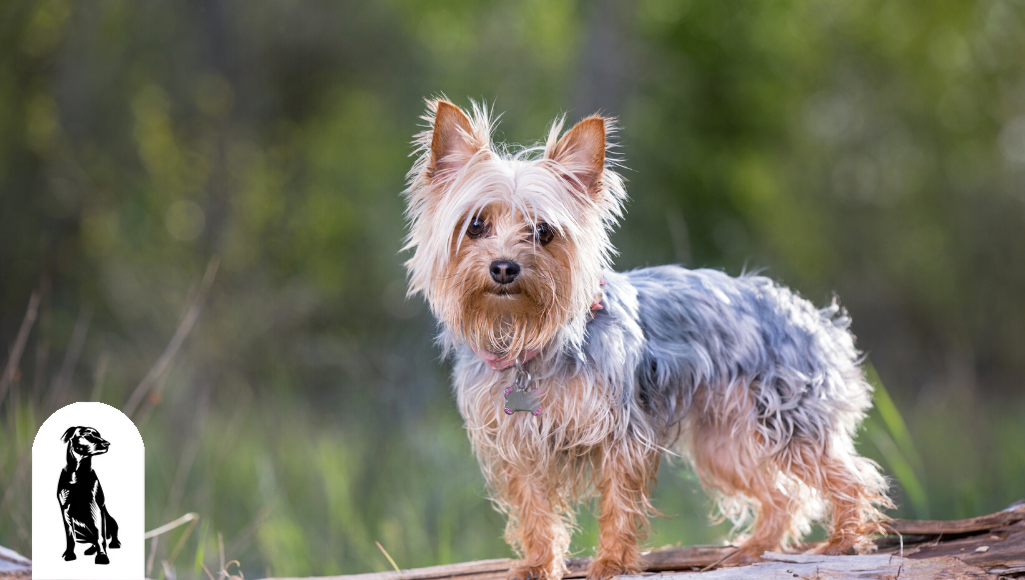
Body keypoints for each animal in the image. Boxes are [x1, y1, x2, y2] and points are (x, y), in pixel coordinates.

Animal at [58, 424, 120, 565]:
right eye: (87, 435)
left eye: (99, 435)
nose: (107, 443)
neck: (78, 473)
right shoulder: (65, 509)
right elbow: (70, 537)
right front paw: (69, 554)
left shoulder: (96, 506)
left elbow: (100, 536)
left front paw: (102, 556)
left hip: (110, 519)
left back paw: (113, 544)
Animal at [399, 99, 889, 580]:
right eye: (476, 225)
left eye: (543, 232)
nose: (504, 267)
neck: (528, 343)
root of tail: (813, 317)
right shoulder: (518, 444)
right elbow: (534, 510)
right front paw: (538, 565)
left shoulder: (622, 432)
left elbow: (619, 501)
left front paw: (611, 563)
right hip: (724, 441)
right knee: (781, 496)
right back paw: (753, 552)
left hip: (788, 419)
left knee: (851, 477)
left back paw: (844, 541)